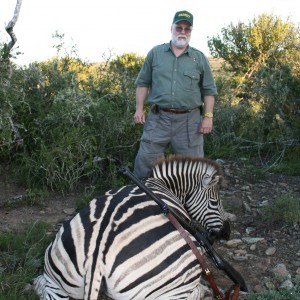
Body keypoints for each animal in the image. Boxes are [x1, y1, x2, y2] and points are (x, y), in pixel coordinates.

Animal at [32, 156, 230, 298]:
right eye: (214, 202)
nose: (227, 232)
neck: (161, 184)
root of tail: (96, 260)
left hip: (56, 279)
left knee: (44, 286)